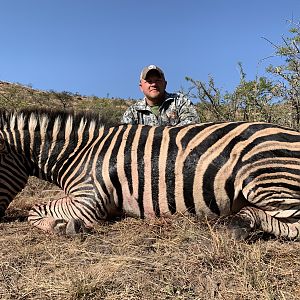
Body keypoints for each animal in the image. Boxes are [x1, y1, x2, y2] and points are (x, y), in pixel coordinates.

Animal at [0, 109, 300, 240]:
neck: (79, 153)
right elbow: (36, 209)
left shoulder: (88, 202)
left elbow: (35, 211)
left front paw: (62, 226)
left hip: (265, 180)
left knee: (294, 226)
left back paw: (238, 224)